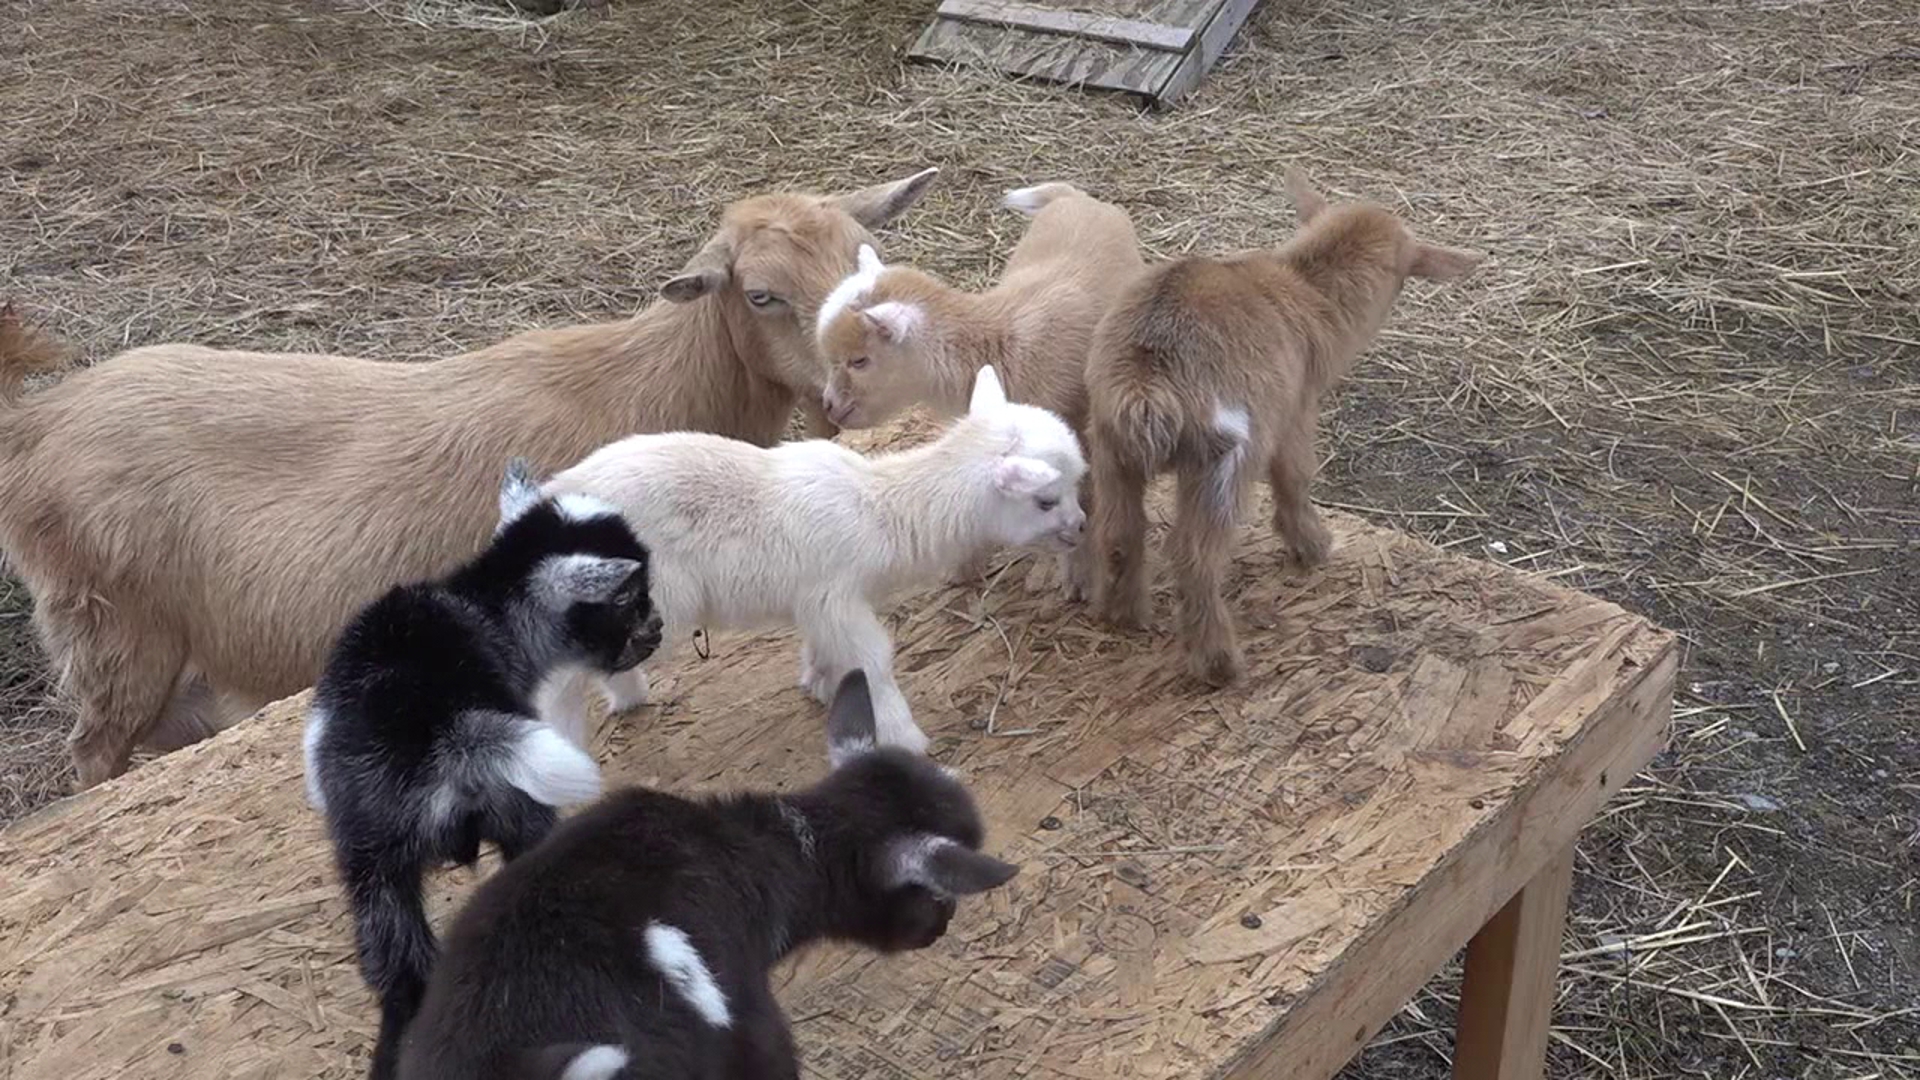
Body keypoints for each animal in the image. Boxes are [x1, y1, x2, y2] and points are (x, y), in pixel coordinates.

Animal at [0, 169, 937, 789]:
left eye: (865, 260)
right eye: (761, 296)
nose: (848, 389)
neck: (648, 384)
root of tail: (36, 423)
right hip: (114, 626)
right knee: (94, 753)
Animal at [304, 461, 665, 1080]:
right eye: (632, 599)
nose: (659, 628)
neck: (485, 600)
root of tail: (446, 733)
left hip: (372, 868)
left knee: (402, 977)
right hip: (517, 807)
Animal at [543, 365, 1086, 756]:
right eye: (1045, 501)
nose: (1080, 528)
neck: (882, 510)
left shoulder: (818, 603)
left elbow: (827, 649)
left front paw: (819, 684)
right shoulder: (837, 596)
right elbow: (874, 660)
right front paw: (904, 736)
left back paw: (628, 696)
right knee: (559, 681)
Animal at [816, 183, 1144, 597]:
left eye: (859, 360)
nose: (829, 407)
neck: (995, 344)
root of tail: (1074, 196)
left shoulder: (1076, 431)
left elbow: (1080, 498)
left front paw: (1075, 578)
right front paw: (964, 566)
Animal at [1086, 169, 1483, 687]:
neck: (1305, 287)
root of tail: (1144, 386)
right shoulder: (1296, 411)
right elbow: (1296, 478)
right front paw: (1315, 548)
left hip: (1110, 446)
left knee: (1118, 532)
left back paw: (1125, 615)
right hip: (1224, 457)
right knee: (1194, 556)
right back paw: (1221, 665)